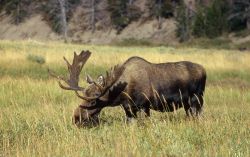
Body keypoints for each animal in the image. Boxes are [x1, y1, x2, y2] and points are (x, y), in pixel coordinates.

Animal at [47, 50, 206, 126]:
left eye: (92, 101)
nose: (76, 117)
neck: (121, 93)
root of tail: (204, 70)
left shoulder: (144, 105)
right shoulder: (128, 108)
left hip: (196, 100)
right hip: (187, 105)